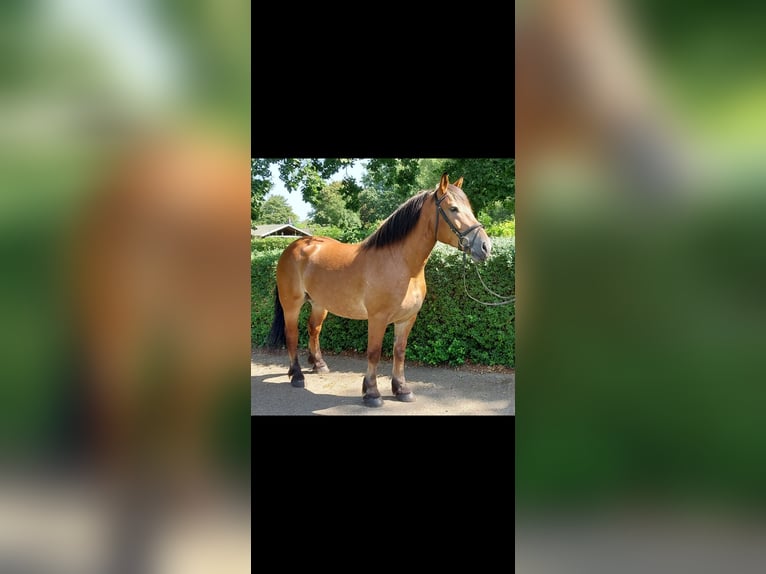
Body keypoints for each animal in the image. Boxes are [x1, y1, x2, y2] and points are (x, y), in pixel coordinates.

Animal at [267, 173, 492, 407]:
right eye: (454, 208)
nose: (486, 247)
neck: (401, 265)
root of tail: (295, 246)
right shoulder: (377, 318)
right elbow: (374, 353)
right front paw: (372, 393)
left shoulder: (406, 318)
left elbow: (399, 352)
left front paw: (401, 389)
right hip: (291, 305)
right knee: (292, 335)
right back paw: (297, 375)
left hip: (319, 304)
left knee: (314, 329)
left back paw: (318, 365)